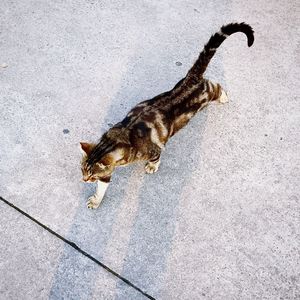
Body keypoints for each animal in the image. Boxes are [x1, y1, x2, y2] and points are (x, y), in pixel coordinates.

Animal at [79, 22, 253, 209]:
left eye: (92, 175)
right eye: (82, 170)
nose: (84, 180)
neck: (119, 138)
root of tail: (192, 78)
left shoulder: (154, 149)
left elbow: (157, 157)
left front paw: (152, 166)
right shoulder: (108, 172)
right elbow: (102, 188)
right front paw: (96, 200)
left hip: (207, 94)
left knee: (217, 86)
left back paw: (224, 97)